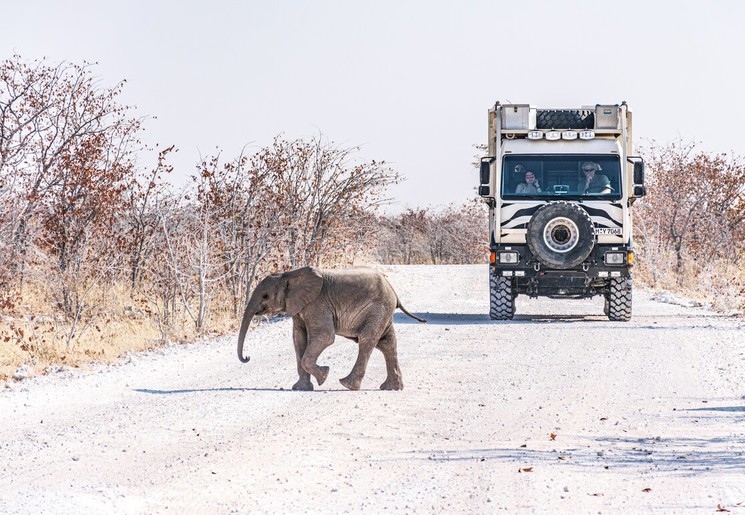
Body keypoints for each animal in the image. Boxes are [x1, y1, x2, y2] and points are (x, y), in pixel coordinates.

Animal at [237, 268, 424, 394]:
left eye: (265, 296)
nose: (247, 357)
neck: (288, 274)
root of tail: (394, 291)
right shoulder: (300, 307)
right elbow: (299, 339)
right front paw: (301, 389)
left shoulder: (317, 303)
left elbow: (325, 337)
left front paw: (324, 375)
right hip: (383, 311)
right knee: (387, 343)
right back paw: (391, 388)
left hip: (379, 309)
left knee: (367, 339)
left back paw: (348, 385)